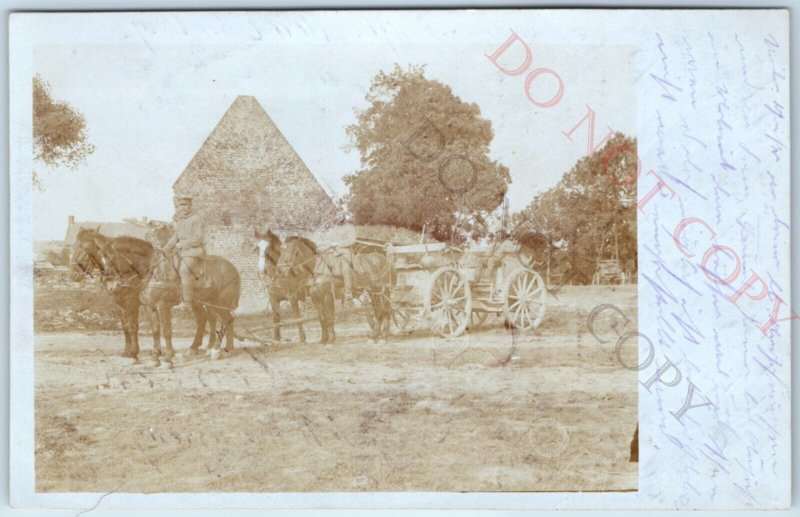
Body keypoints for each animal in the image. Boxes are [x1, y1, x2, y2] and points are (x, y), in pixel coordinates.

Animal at [71, 227, 155, 358]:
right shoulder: (119, 303)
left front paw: (134, 352)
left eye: (86, 247)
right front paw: (127, 351)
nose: (73, 274)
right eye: (74, 245)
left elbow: (133, 326)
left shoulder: (132, 302)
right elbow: (125, 327)